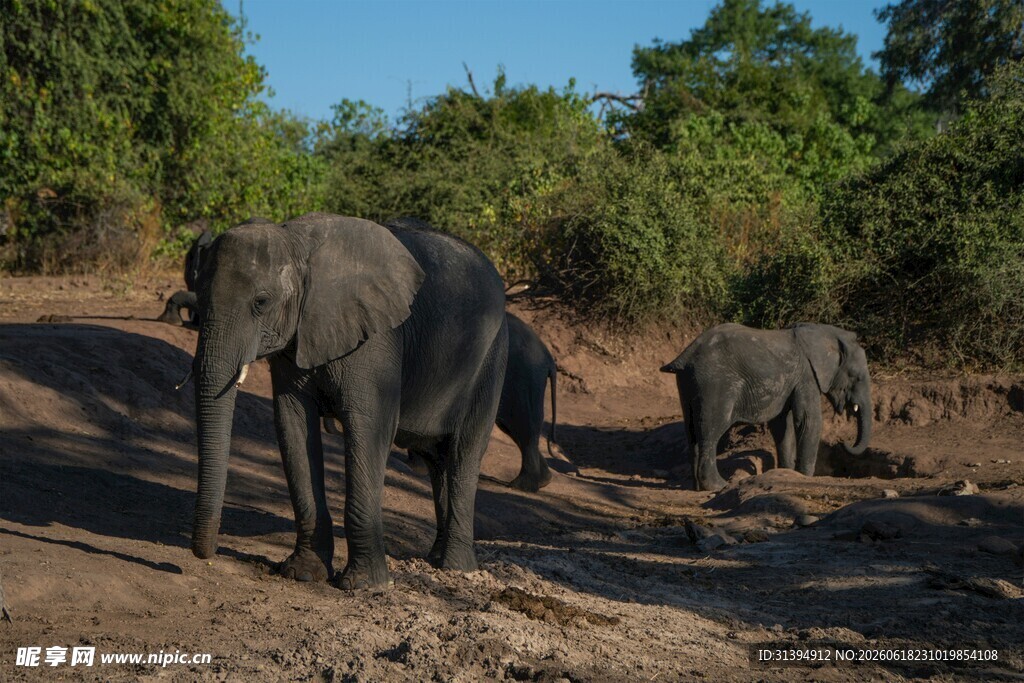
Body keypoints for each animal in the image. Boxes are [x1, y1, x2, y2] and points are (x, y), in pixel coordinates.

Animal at [189, 212, 508, 591]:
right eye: (198, 296)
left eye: (261, 302)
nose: (205, 554)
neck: (298, 246)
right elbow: (293, 425)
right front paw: (302, 574)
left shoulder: (379, 341)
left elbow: (369, 428)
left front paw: (363, 585)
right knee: (438, 461)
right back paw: (435, 559)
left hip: (492, 359)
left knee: (463, 453)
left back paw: (456, 568)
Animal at [660, 322, 871, 491]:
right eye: (856, 377)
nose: (844, 441)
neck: (827, 333)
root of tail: (685, 357)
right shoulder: (807, 376)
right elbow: (807, 421)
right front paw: (804, 476)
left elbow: (782, 426)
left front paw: (787, 473)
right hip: (714, 383)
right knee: (710, 432)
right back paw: (718, 486)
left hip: (688, 382)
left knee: (692, 432)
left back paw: (697, 487)